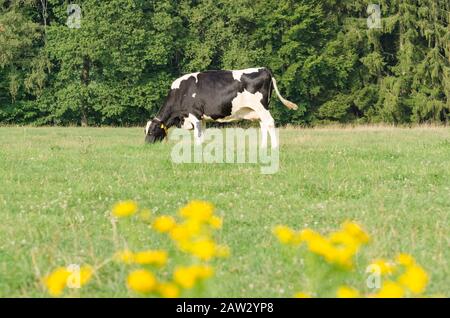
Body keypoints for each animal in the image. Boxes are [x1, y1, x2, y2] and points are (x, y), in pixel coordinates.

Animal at [146, 67, 298, 148]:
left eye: (152, 131)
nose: (147, 144)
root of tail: (264, 69)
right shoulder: (202, 118)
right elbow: (202, 133)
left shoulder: (194, 114)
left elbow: (197, 134)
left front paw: (197, 147)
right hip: (257, 110)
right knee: (264, 125)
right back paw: (262, 146)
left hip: (261, 107)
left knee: (270, 123)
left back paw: (274, 147)